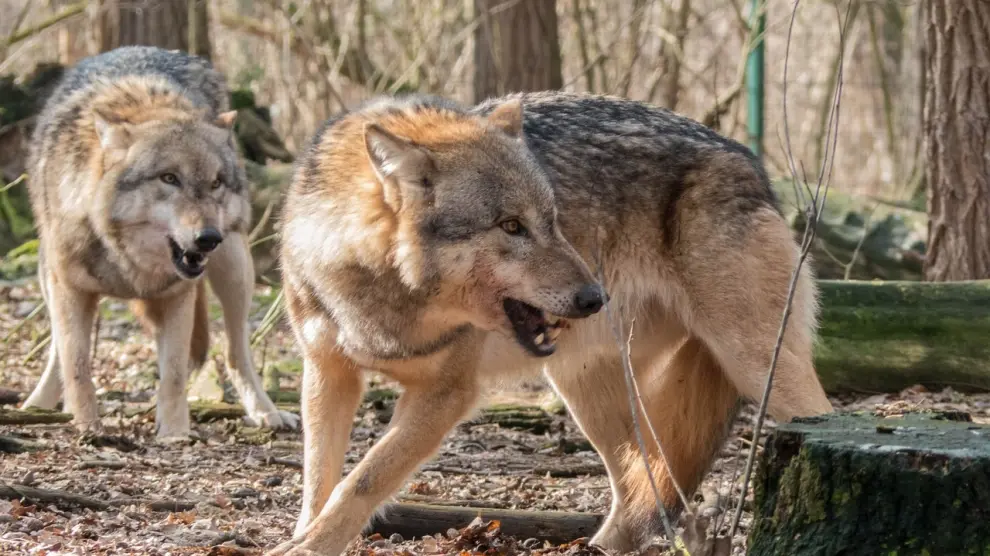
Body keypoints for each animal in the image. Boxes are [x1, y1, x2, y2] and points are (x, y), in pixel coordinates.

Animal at [20, 46, 299, 438]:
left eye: (215, 182)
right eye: (169, 178)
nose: (208, 238)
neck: (126, 260)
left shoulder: (177, 296)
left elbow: (175, 374)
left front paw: (174, 434)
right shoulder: (71, 290)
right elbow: (76, 365)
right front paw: (88, 426)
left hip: (235, 269)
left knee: (235, 353)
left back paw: (266, 412)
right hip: (48, 277)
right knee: (58, 351)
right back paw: (38, 406)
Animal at [267, 91, 833, 555]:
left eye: (553, 220)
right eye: (511, 226)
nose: (595, 297)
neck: (382, 295)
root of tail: (749, 161)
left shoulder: (447, 393)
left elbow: (361, 480)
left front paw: (309, 546)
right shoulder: (327, 373)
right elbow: (319, 479)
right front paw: (304, 535)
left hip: (759, 368)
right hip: (584, 388)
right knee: (639, 487)